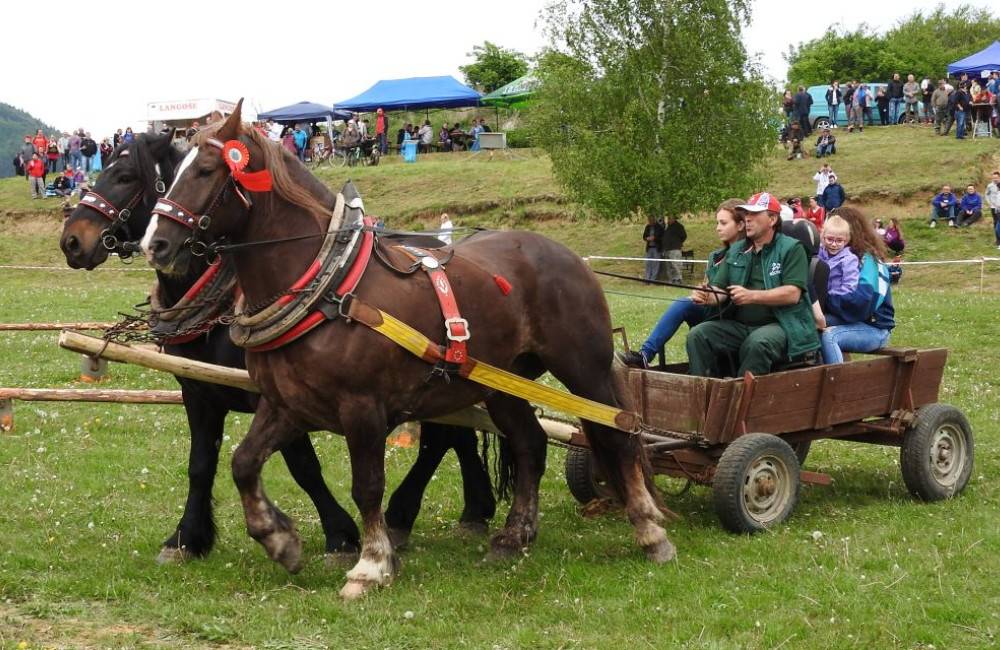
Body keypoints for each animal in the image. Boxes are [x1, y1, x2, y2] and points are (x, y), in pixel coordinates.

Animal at [141, 102, 672, 596]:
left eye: (207, 170)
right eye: (175, 170)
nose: (155, 244)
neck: (329, 287)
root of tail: (567, 255)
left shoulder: (362, 408)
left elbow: (367, 485)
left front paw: (371, 564)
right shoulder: (286, 404)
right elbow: (243, 463)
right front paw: (279, 539)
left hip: (584, 367)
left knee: (619, 435)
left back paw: (649, 531)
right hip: (502, 382)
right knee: (531, 444)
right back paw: (513, 536)